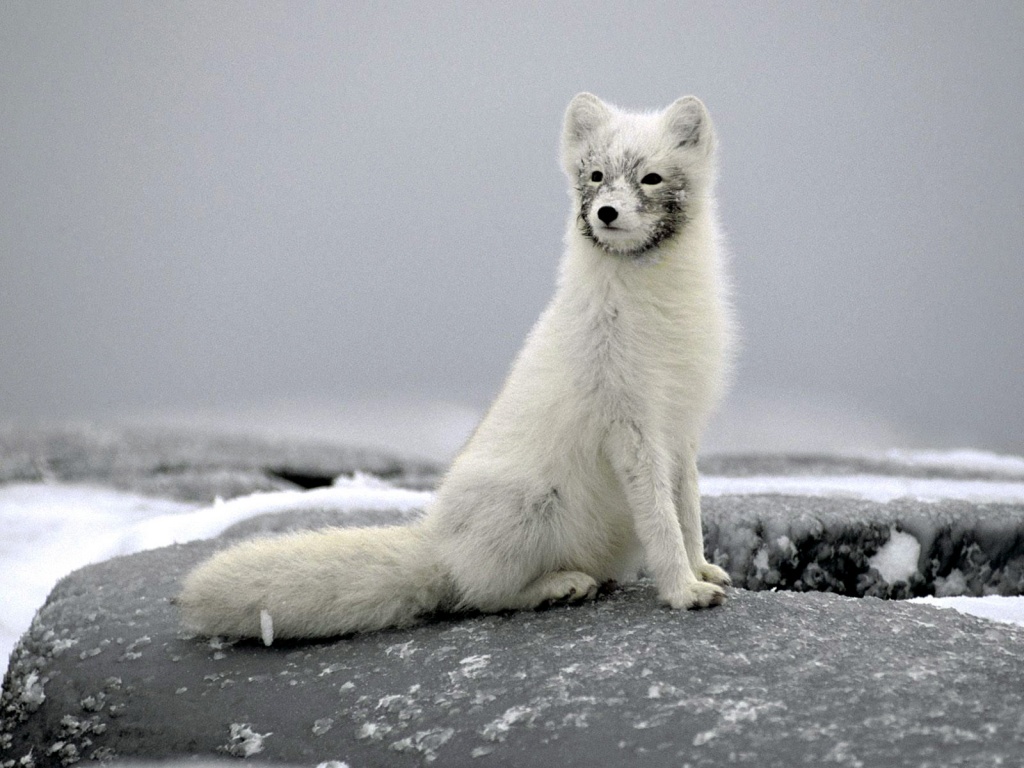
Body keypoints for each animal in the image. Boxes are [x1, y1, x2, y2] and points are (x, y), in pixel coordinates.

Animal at [177, 92, 736, 641]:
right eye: (596, 175)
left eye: (651, 178)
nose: (606, 212)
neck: (657, 306)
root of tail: (438, 543)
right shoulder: (630, 426)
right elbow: (661, 520)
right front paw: (683, 590)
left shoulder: (681, 427)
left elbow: (688, 510)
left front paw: (701, 568)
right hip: (529, 506)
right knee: (482, 594)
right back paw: (559, 586)